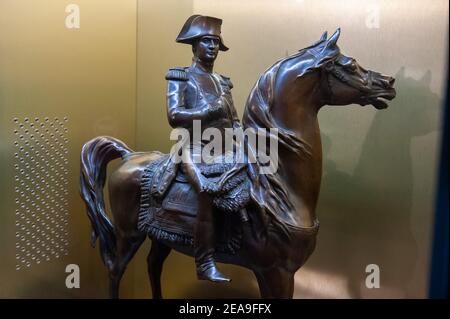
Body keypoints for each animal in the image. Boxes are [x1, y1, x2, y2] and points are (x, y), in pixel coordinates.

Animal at [80, 29, 394, 300]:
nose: (388, 83)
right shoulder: (276, 271)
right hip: (129, 234)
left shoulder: (278, 273)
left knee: (153, 265)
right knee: (115, 269)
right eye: (350, 64)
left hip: (160, 235)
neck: (276, 187)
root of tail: (129, 155)